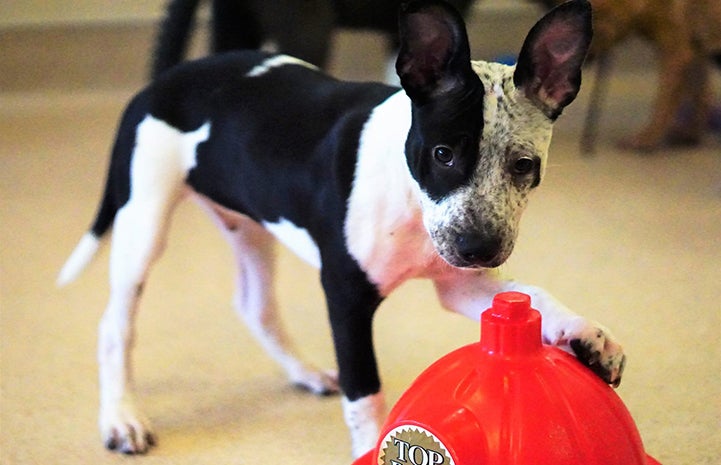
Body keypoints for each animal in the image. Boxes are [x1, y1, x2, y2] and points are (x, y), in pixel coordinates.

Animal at [59, 0, 624, 456]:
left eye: (523, 165)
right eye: (443, 154)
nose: (479, 247)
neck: (408, 193)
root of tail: (161, 81)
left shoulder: (457, 282)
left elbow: (531, 297)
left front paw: (586, 335)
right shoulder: (346, 295)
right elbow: (365, 392)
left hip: (249, 224)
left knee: (255, 306)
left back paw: (304, 373)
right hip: (144, 220)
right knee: (115, 326)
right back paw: (122, 418)